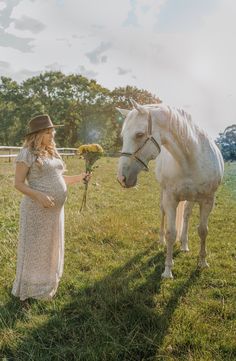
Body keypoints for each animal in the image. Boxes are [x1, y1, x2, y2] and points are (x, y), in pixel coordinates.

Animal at [117, 100, 224, 278]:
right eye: (122, 136)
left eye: (139, 134)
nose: (121, 178)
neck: (191, 159)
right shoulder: (170, 199)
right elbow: (171, 233)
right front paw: (167, 270)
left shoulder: (208, 200)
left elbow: (203, 230)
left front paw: (202, 262)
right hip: (164, 195)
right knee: (163, 213)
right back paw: (161, 240)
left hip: (191, 198)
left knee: (186, 216)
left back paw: (185, 244)